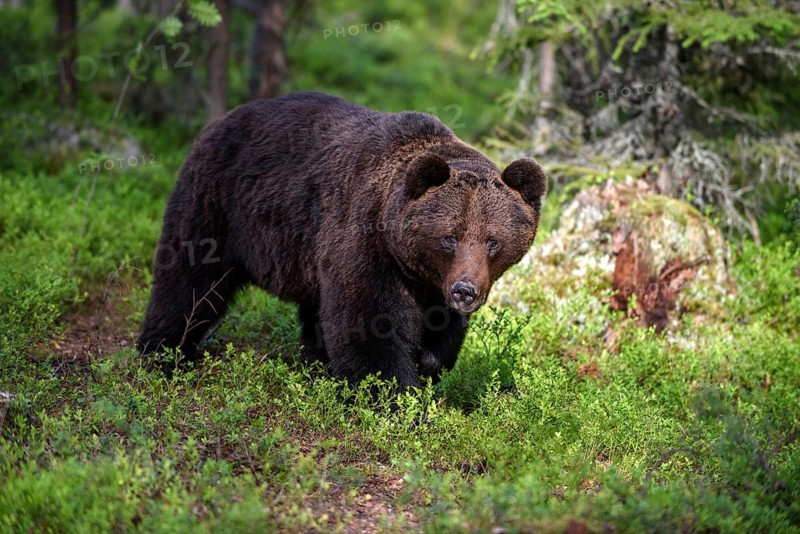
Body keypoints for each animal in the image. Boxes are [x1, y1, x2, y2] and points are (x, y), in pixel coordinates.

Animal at [137, 92, 547, 389]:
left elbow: (441, 330)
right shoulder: (365, 241)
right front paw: (394, 396)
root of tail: (220, 120)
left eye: (493, 241)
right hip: (216, 204)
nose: (465, 291)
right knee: (189, 281)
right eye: (450, 237)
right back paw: (163, 355)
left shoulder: (431, 283)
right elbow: (368, 323)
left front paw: (428, 363)